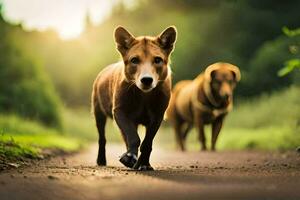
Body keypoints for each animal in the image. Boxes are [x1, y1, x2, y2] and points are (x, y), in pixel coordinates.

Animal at [91, 25, 176, 170]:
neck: (144, 97)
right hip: (99, 113)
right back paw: (102, 160)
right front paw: (130, 157)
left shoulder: (157, 116)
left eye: (157, 60)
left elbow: (147, 143)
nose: (146, 79)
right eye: (134, 60)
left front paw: (143, 164)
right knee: (102, 138)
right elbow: (133, 137)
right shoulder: (120, 111)